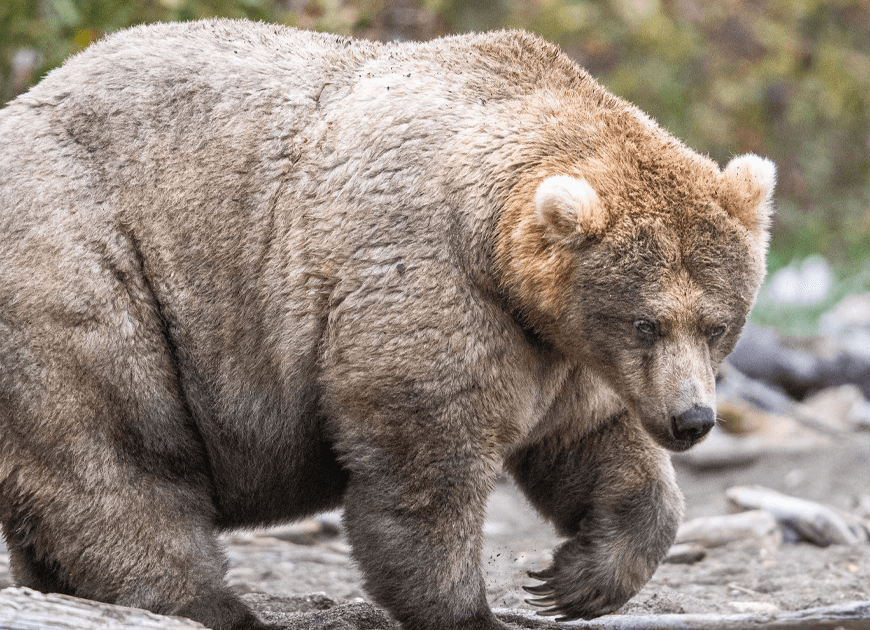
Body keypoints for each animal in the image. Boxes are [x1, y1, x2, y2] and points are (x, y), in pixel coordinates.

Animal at [0, 17, 776, 630]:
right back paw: (211, 605)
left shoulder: (565, 350)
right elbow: (425, 460)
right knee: (115, 446)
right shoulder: (432, 281)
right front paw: (471, 610)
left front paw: (573, 580)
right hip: (85, 260)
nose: (692, 420)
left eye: (716, 324)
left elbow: (594, 445)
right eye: (647, 322)